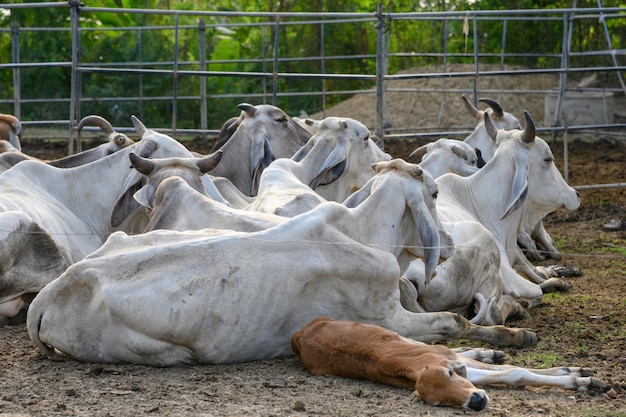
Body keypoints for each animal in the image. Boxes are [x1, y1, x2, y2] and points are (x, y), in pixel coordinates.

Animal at [26, 158, 536, 364]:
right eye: (432, 193)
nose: (448, 243)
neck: (362, 232)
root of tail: (46, 298)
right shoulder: (386, 316)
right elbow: (453, 323)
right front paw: (502, 339)